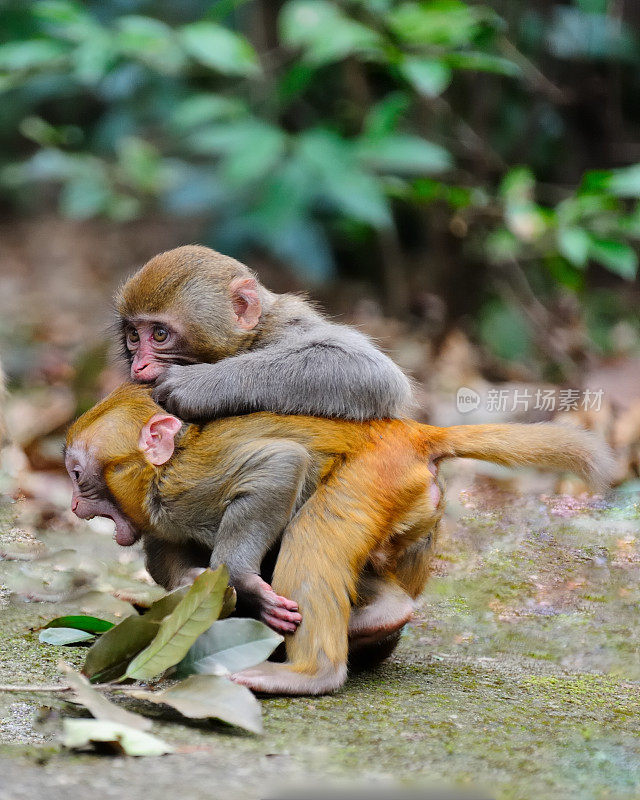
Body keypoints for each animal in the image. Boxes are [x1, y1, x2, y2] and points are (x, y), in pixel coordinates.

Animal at [65, 382, 616, 692]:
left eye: (76, 474)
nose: (72, 505)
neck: (161, 467)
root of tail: (413, 431)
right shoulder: (161, 514)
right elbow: (166, 558)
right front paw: (196, 588)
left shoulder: (183, 486)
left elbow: (279, 465)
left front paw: (240, 581)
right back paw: (384, 614)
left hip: (376, 476)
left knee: (316, 530)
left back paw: (314, 673)